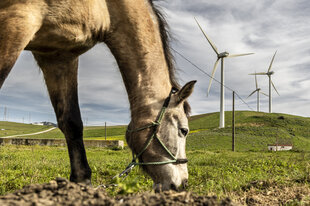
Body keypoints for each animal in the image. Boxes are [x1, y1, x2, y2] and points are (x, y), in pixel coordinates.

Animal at [0, 0, 196, 192]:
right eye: (184, 131)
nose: (183, 184)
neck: (107, 7)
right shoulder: (18, 20)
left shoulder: (58, 55)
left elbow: (71, 122)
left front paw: (82, 182)